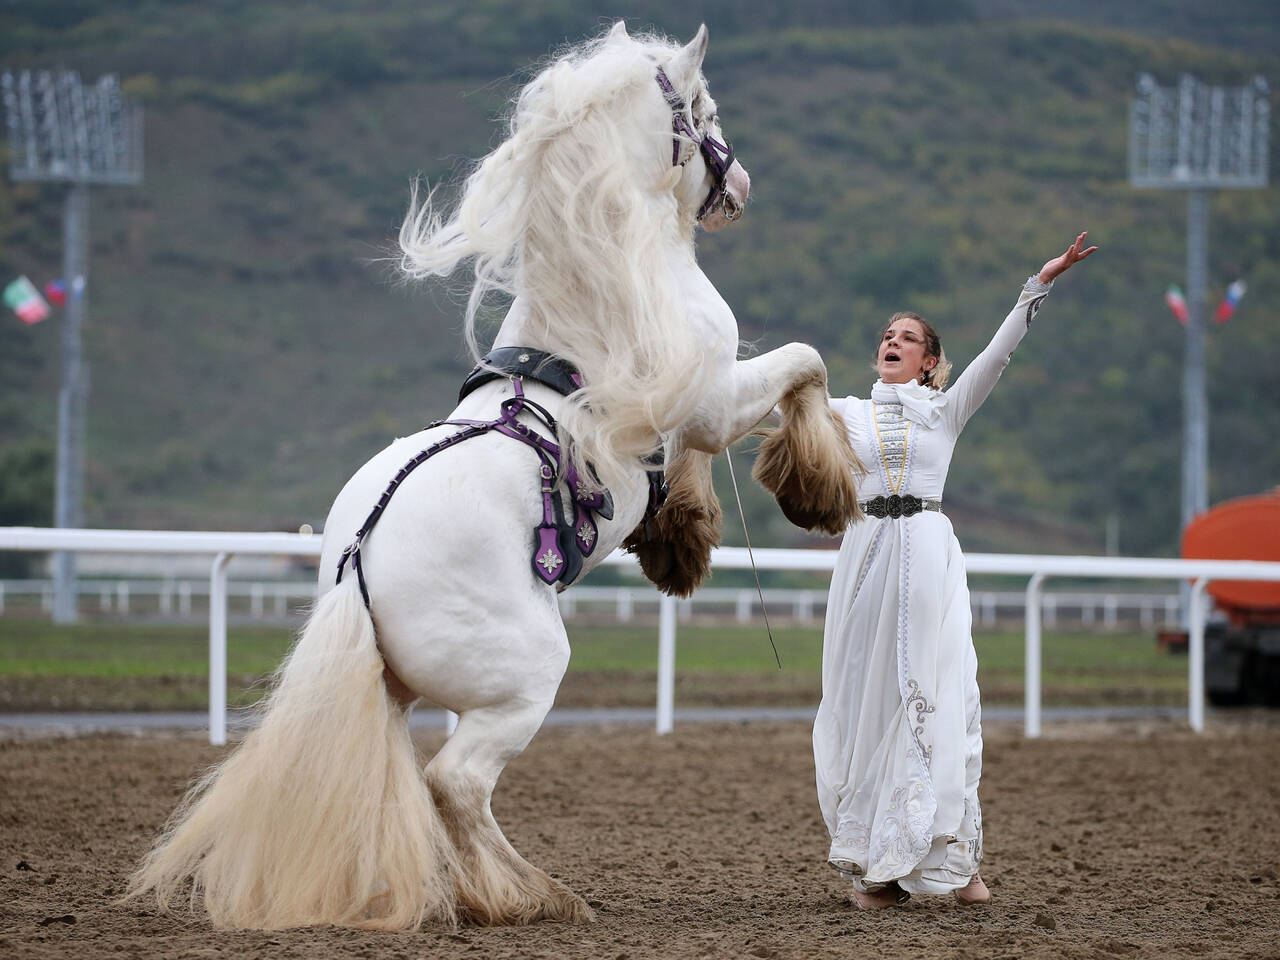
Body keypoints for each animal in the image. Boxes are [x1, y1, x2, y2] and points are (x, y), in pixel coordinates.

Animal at [129, 24, 865, 931]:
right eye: (706, 109)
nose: (743, 184)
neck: (600, 303)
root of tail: (358, 561)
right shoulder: (712, 395)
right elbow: (806, 364)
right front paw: (817, 490)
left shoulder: (690, 406)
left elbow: (696, 460)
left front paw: (681, 542)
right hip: (524, 681)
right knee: (454, 783)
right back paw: (532, 896)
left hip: (399, 693)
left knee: (422, 784)